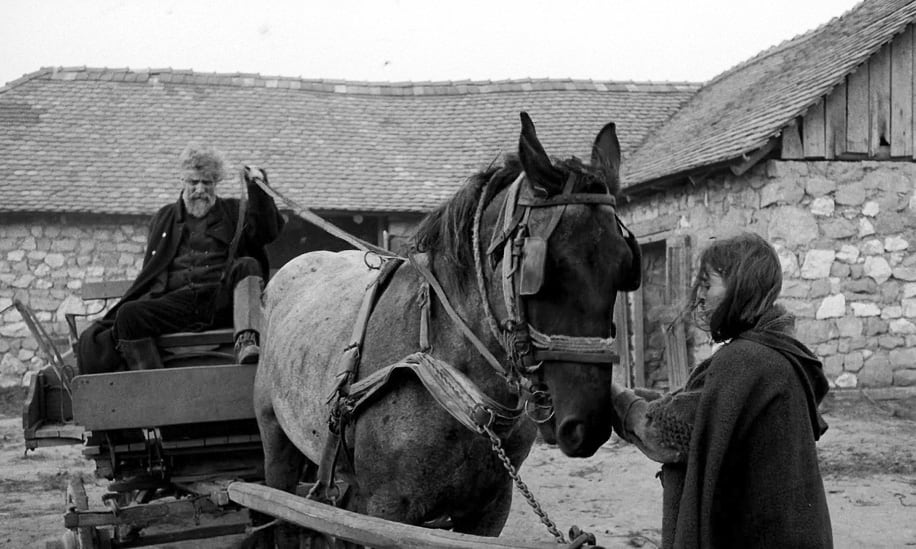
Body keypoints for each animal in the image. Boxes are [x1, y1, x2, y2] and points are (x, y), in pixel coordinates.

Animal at [250, 112, 644, 544]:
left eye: (625, 267)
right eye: (542, 270)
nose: (586, 425)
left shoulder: (491, 509)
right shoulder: (386, 511)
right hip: (276, 441)